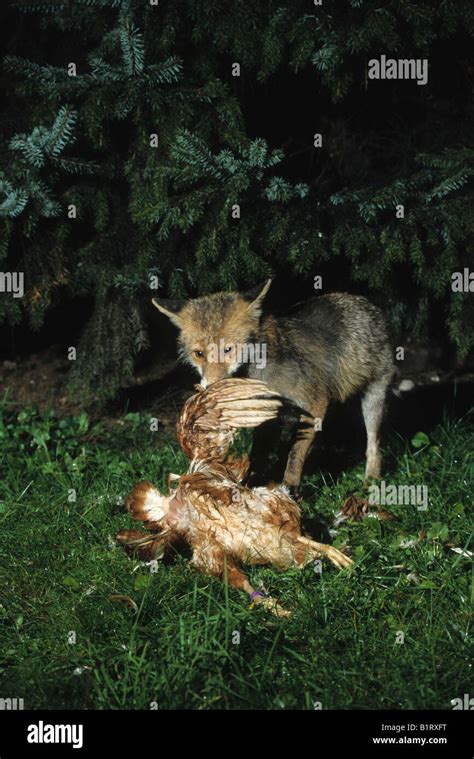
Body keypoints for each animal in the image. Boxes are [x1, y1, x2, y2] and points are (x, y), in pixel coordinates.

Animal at [154, 282, 394, 496]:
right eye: (199, 354)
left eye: (228, 349)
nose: (210, 387)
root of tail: (360, 300)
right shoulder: (266, 411)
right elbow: (259, 455)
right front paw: (247, 485)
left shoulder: (315, 401)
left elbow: (296, 454)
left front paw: (289, 487)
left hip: (374, 398)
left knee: (373, 445)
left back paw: (371, 481)